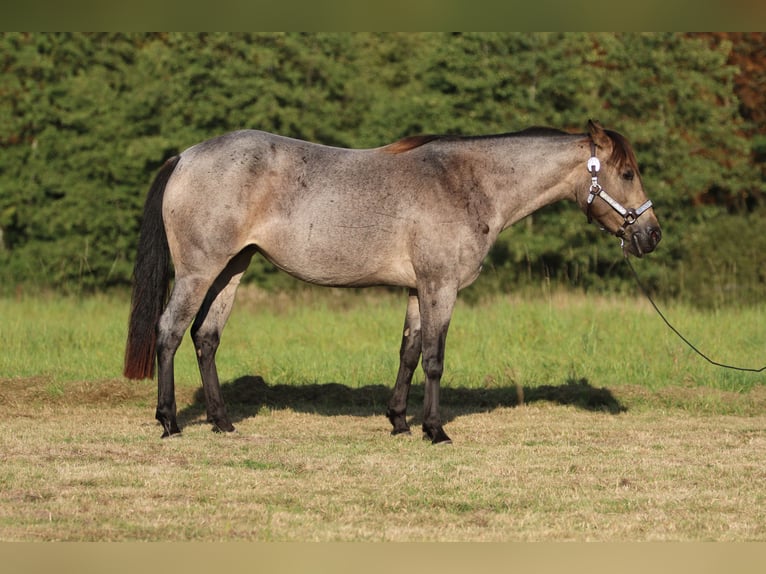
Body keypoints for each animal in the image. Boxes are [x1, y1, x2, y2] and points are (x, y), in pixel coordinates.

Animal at [123, 120, 661, 444]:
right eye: (626, 172)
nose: (651, 234)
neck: (465, 181)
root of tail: (186, 156)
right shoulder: (441, 287)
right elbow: (435, 359)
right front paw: (434, 429)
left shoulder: (417, 289)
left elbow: (408, 351)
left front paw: (399, 421)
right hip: (200, 270)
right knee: (170, 332)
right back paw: (170, 421)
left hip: (232, 268)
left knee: (206, 337)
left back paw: (221, 421)